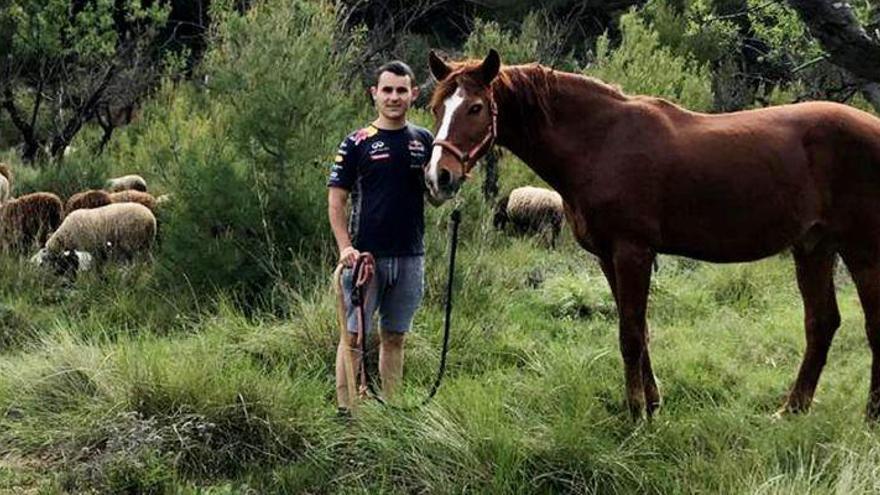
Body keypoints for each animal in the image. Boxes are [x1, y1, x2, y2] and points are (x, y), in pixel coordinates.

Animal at [426, 49, 880, 422]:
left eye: (476, 107)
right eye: (435, 107)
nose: (437, 177)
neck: (600, 142)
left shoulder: (633, 251)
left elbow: (629, 333)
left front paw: (636, 413)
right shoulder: (607, 256)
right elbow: (639, 331)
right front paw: (653, 402)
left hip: (861, 252)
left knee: (870, 325)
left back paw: (870, 415)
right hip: (814, 248)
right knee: (822, 323)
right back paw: (792, 409)